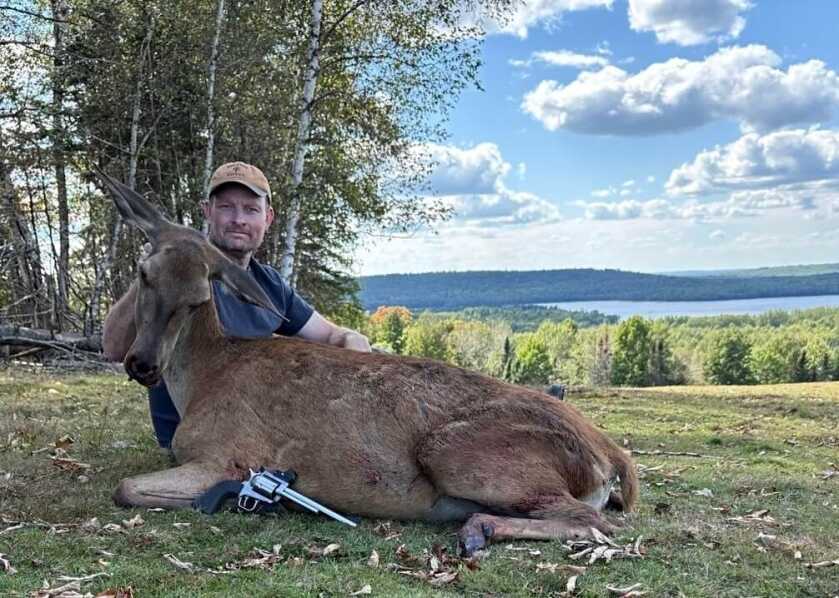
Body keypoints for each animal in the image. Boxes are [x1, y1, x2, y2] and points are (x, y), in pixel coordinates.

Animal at [99, 173, 638, 556]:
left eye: (197, 299)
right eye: (144, 274)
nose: (143, 363)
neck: (202, 378)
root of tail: (612, 456)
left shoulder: (225, 454)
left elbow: (124, 488)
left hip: (458, 451)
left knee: (595, 521)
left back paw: (477, 528)